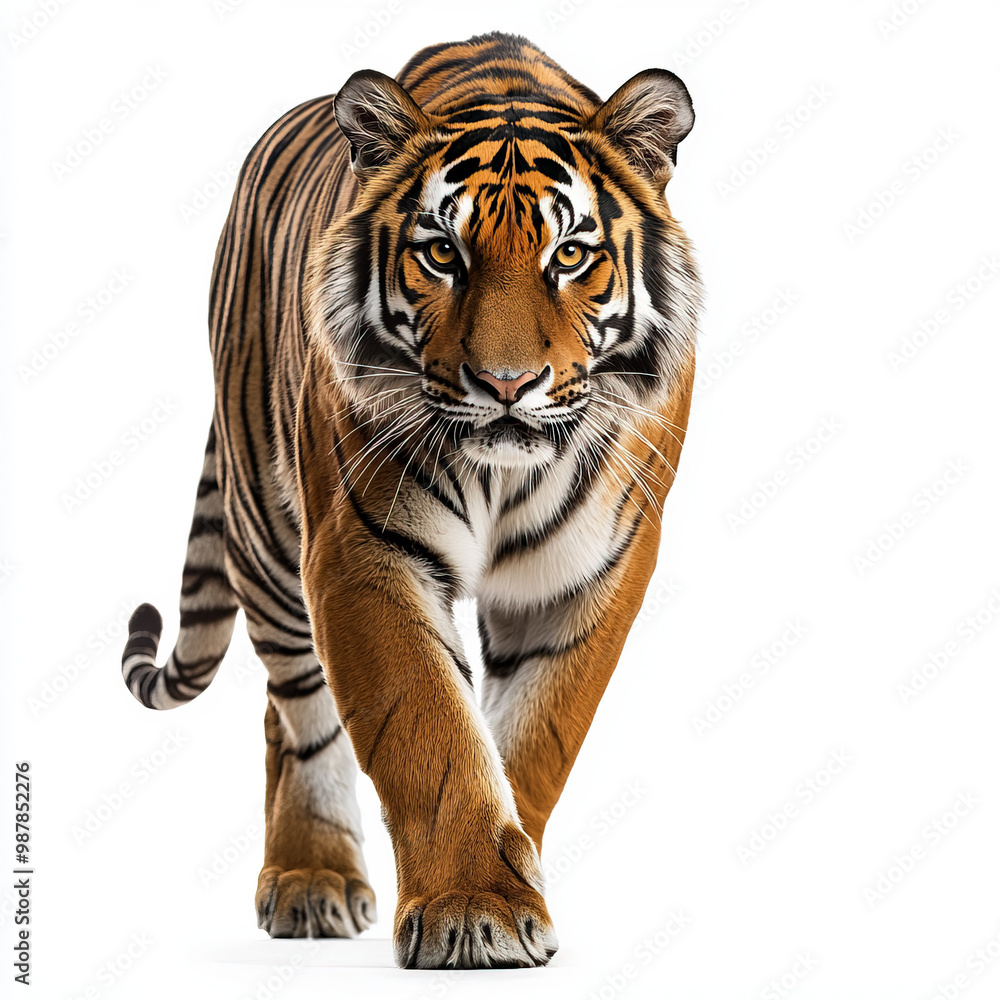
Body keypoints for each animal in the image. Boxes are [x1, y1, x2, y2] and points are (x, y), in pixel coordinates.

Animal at [120, 31, 701, 970]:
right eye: (443, 254)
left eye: (570, 256)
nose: (507, 384)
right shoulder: (365, 550)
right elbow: (430, 728)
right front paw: (473, 908)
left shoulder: (586, 570)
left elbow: (530, 739)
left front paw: (510, 881)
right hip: (267, 533)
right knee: (299, 711)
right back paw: (311, 880)